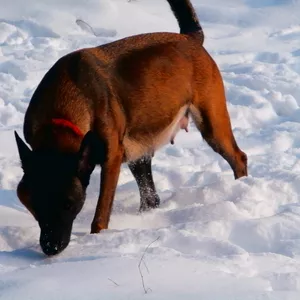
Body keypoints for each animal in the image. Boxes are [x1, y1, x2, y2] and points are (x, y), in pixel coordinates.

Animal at [14, 1, 247, 256]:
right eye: (35, 205)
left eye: (68, 204)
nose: (51, 247)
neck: (60, 114)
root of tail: (190, 38)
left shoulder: (112, 159)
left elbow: (101, 214)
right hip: (139, 150)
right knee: (151, 198)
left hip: (212, 125)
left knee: (239, 158)